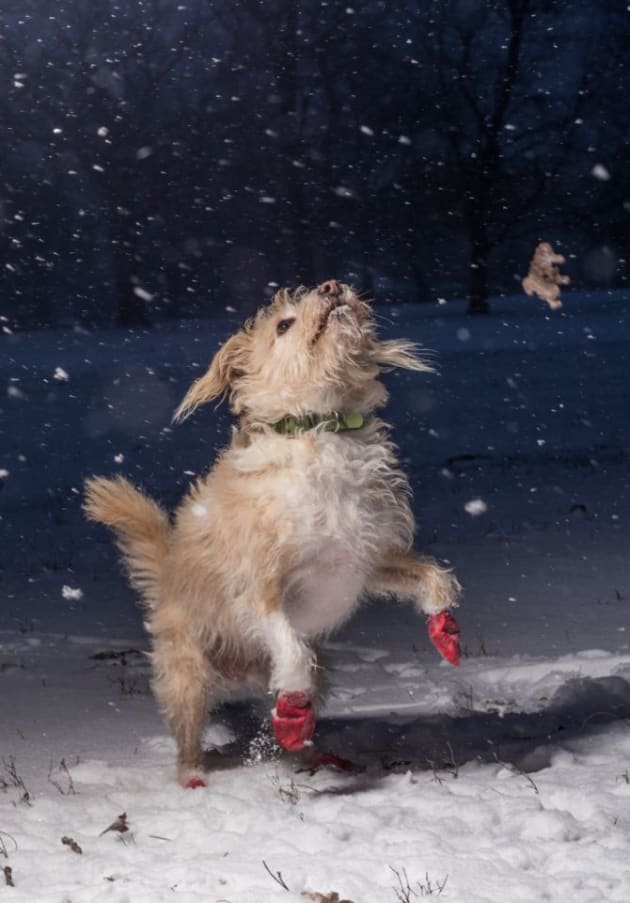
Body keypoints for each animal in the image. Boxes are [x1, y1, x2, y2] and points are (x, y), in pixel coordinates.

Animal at [84, 280, 462, 784]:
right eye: (283, 325)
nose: (332, 285)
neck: (321, 428)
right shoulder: (259, 589)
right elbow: (292, 650)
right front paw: (291, 710)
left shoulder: (368, 560)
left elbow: (433, 577)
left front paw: (445, 628)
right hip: (188, 676)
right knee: (191, 734)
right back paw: (197, 773)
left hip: (317, 672)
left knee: (291, 708)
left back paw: (311, 752)